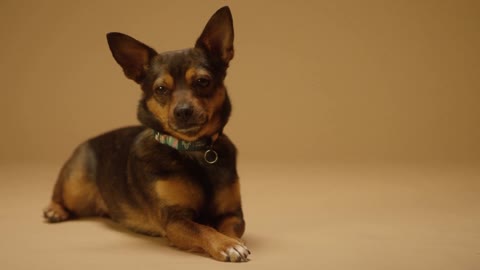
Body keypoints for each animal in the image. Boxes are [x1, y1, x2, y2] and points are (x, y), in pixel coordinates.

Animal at [42, 6, 249, 262]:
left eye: (203, 82)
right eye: (160, 89)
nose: (183, 111)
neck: (194, 151)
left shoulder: (233, 214)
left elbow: (228, 229)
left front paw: (234, 241)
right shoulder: (175, 220)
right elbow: (204, 229)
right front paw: (227, 244)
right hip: (75, 186)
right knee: (60, 194)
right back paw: (54, 210)